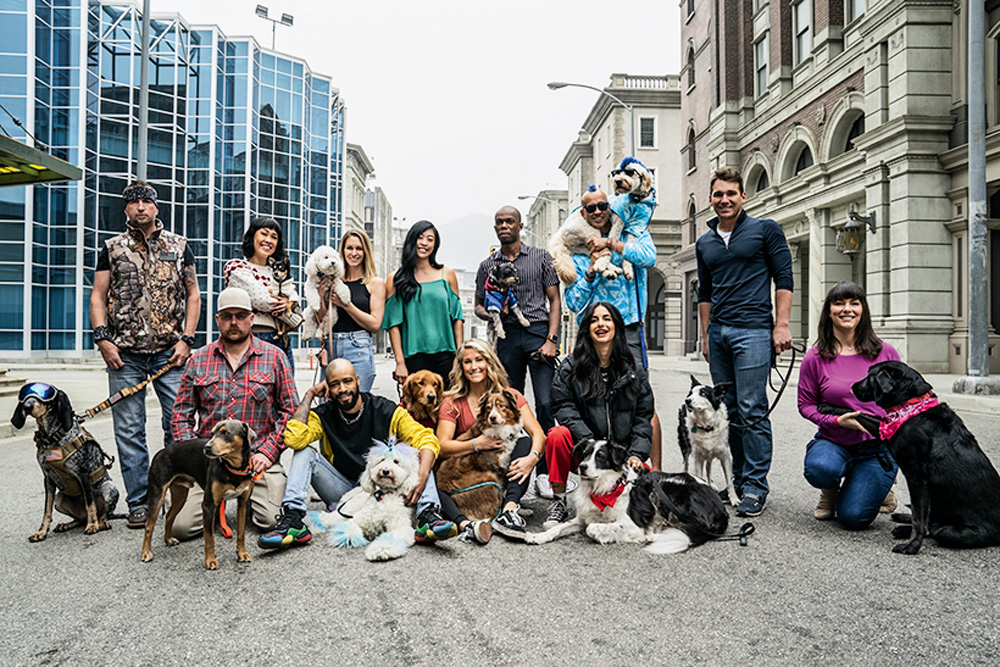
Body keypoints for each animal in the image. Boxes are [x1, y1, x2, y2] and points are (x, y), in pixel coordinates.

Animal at [12, 380, 120, 544]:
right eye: (25, 395)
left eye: (45, 394)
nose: (27, 407)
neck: (52, 437)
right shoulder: (48, 479)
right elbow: (46, 510)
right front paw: (41, 532)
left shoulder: (83, 474)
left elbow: (90, 503)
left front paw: (92, 525)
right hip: (59, 498)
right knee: (80, 519)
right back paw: (67, 524)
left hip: (109, 488)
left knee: (102, 513)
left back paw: (101, 523)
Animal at [141, 422, 258, 568]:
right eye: (211, 434)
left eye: (226, 433)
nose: (206, 447)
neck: (232, 468)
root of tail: (161, 452)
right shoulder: (209, 505)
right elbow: (209, 537)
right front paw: (211, 560)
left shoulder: (243, 502)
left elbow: (241, 532)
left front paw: (242, 553)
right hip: (157, 494)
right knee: (149, 525)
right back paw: (146, 553)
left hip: (180, 495)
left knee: (169, 516)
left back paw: (168, 539)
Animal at [676, 376, 740, 506]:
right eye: (691, 393)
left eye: (703, 394)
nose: (687, 400)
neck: (707, 427)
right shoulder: (698, 457)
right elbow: (698, 475)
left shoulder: (725, 456)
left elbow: (729, 481)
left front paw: (734, 499)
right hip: (685, 446)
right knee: (686, 465)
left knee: (708, 467)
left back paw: (711, 484)